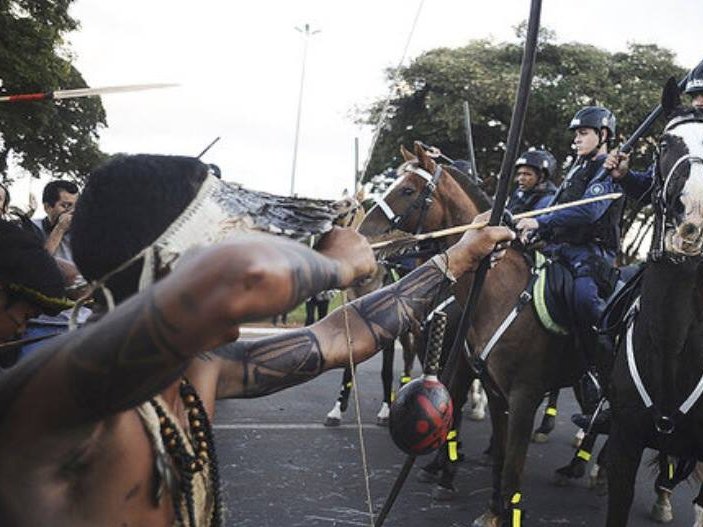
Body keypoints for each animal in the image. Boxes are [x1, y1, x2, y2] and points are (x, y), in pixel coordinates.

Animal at [358, 142, 584, 524]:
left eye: (408, 190)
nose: (362, 234)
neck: (498, 292)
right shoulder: (487, 384)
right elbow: (496, 452)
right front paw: (486, 503)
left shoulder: (521, 393)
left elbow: (511, 466)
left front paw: (449, 475)